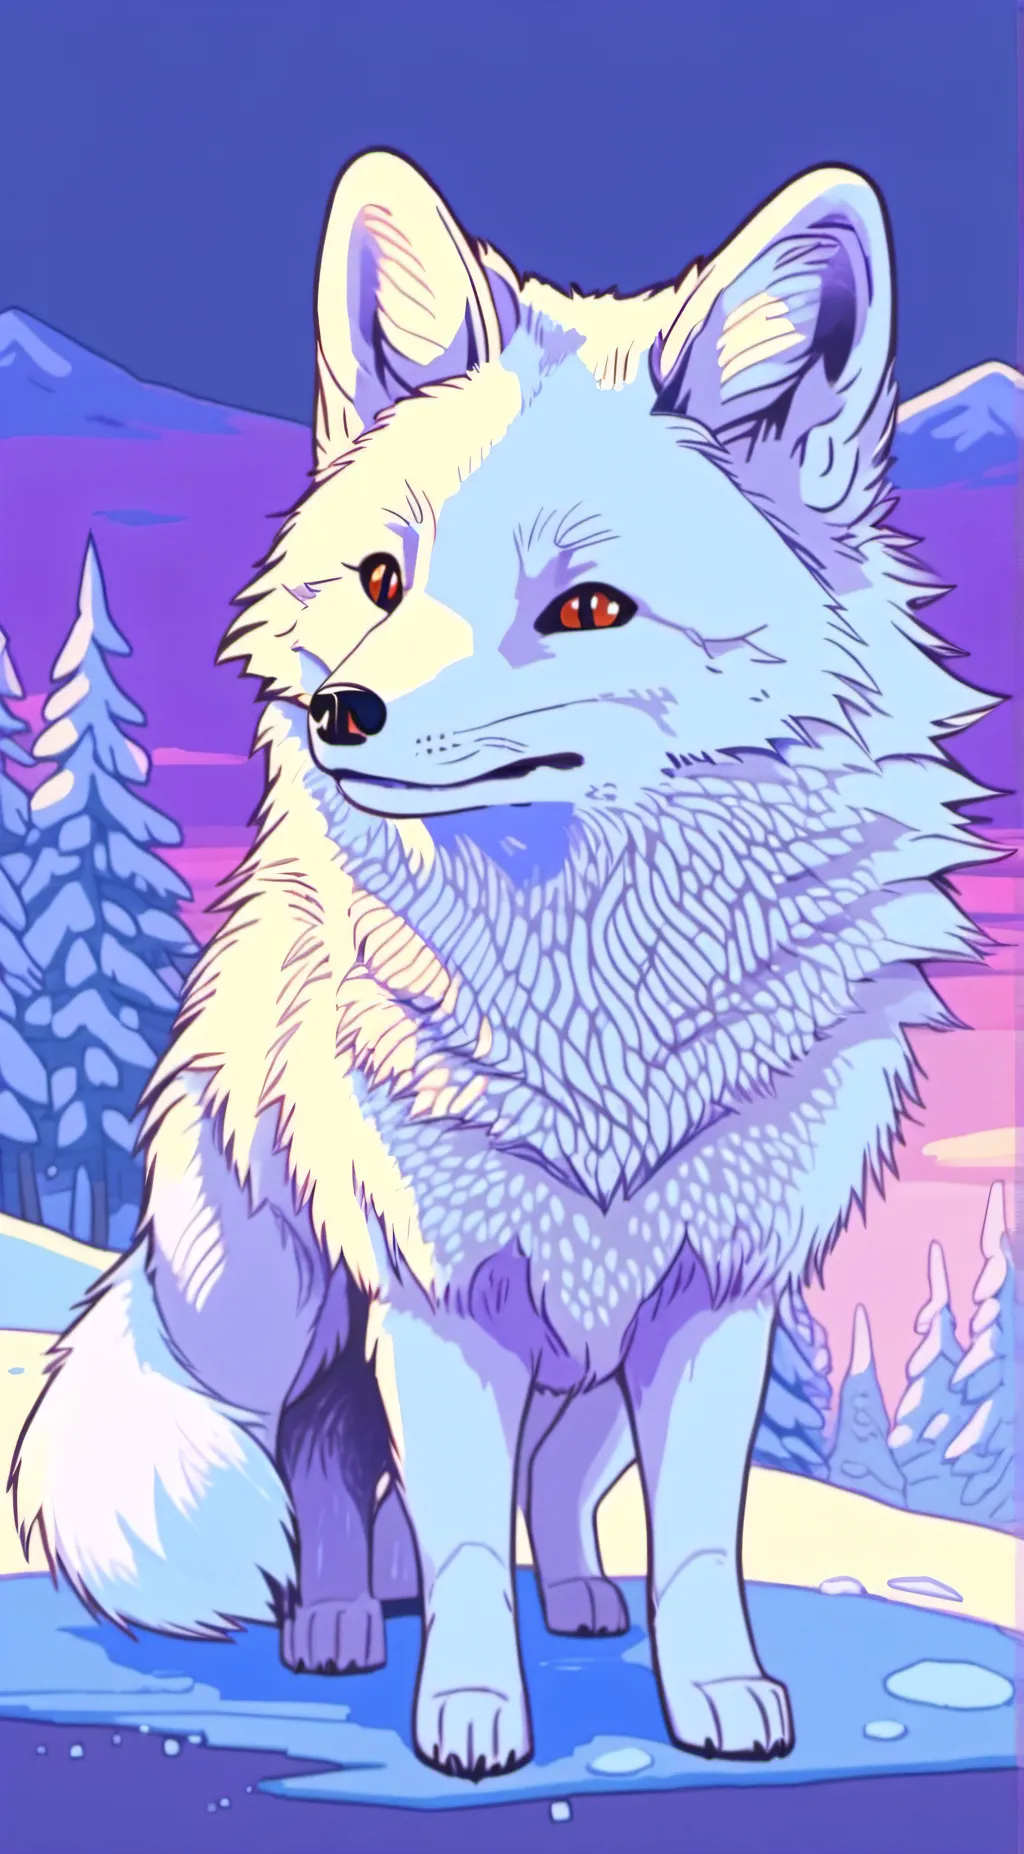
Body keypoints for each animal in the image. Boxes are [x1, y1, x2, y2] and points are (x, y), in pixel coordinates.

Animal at [11, 148, 994, 1780]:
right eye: (382, 578)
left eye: (586, 610)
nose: (341, 712)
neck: (589, 994)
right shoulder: (440, 1297)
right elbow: (465, 1544)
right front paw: (469, 1717)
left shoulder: (709, 1300)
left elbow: (694, 1540)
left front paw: (714, 1696)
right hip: (290, 1322)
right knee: (323, 1470)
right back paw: (341, 1619)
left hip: (575, 1363)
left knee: (548, 1486)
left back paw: (579, 1601)